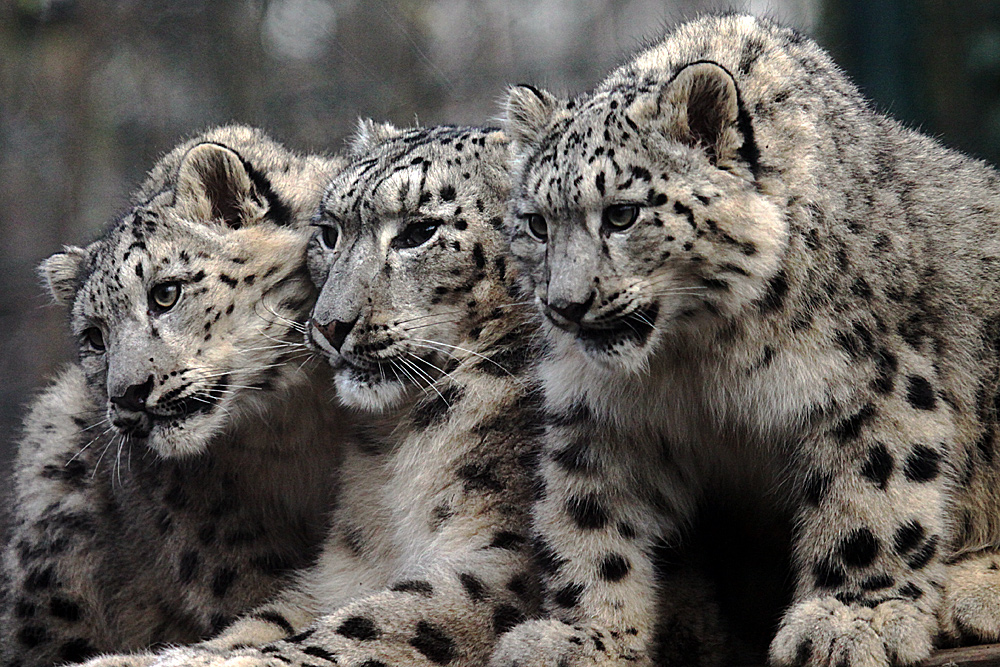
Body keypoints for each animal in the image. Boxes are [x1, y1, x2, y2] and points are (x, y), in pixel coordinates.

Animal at [73, 124, 552, 667]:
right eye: (330, 233)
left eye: (419, 232)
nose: (329, 325)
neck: (402, 442)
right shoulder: (339, 572)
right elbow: (270, 622)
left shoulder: (498, 560)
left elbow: (369, 624)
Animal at [492, 13, 1000, 667]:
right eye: (536, 224)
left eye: (623, 214)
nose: (564, 306)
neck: (695, 355)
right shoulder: (603, 414)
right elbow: (590, 518)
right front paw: (583, 635)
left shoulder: (867, 383)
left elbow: (873, 498)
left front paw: (850, 620)